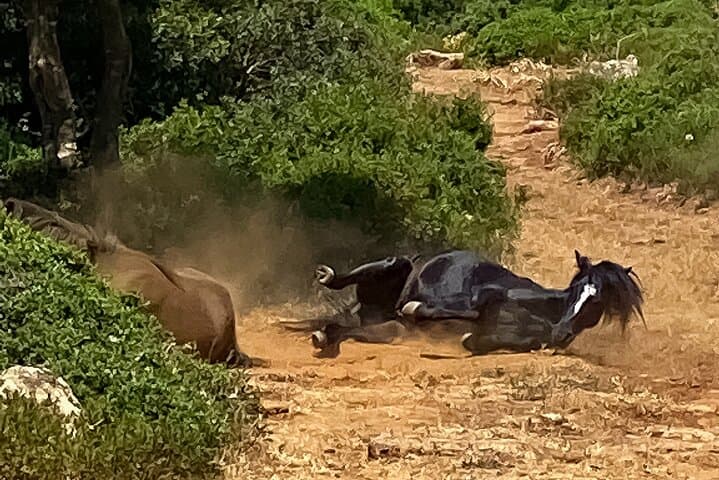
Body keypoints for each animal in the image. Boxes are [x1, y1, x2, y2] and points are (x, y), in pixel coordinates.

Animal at [290, 249, 644, 358]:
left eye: (597, 302)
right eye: (577, 290)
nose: (562, 334)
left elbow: (475, 340)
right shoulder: (478, 295)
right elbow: (467, 309)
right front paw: (415, 309)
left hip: (386, 329)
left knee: (343, 329)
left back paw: (324, 337)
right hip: (395, 264)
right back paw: (328, 276)